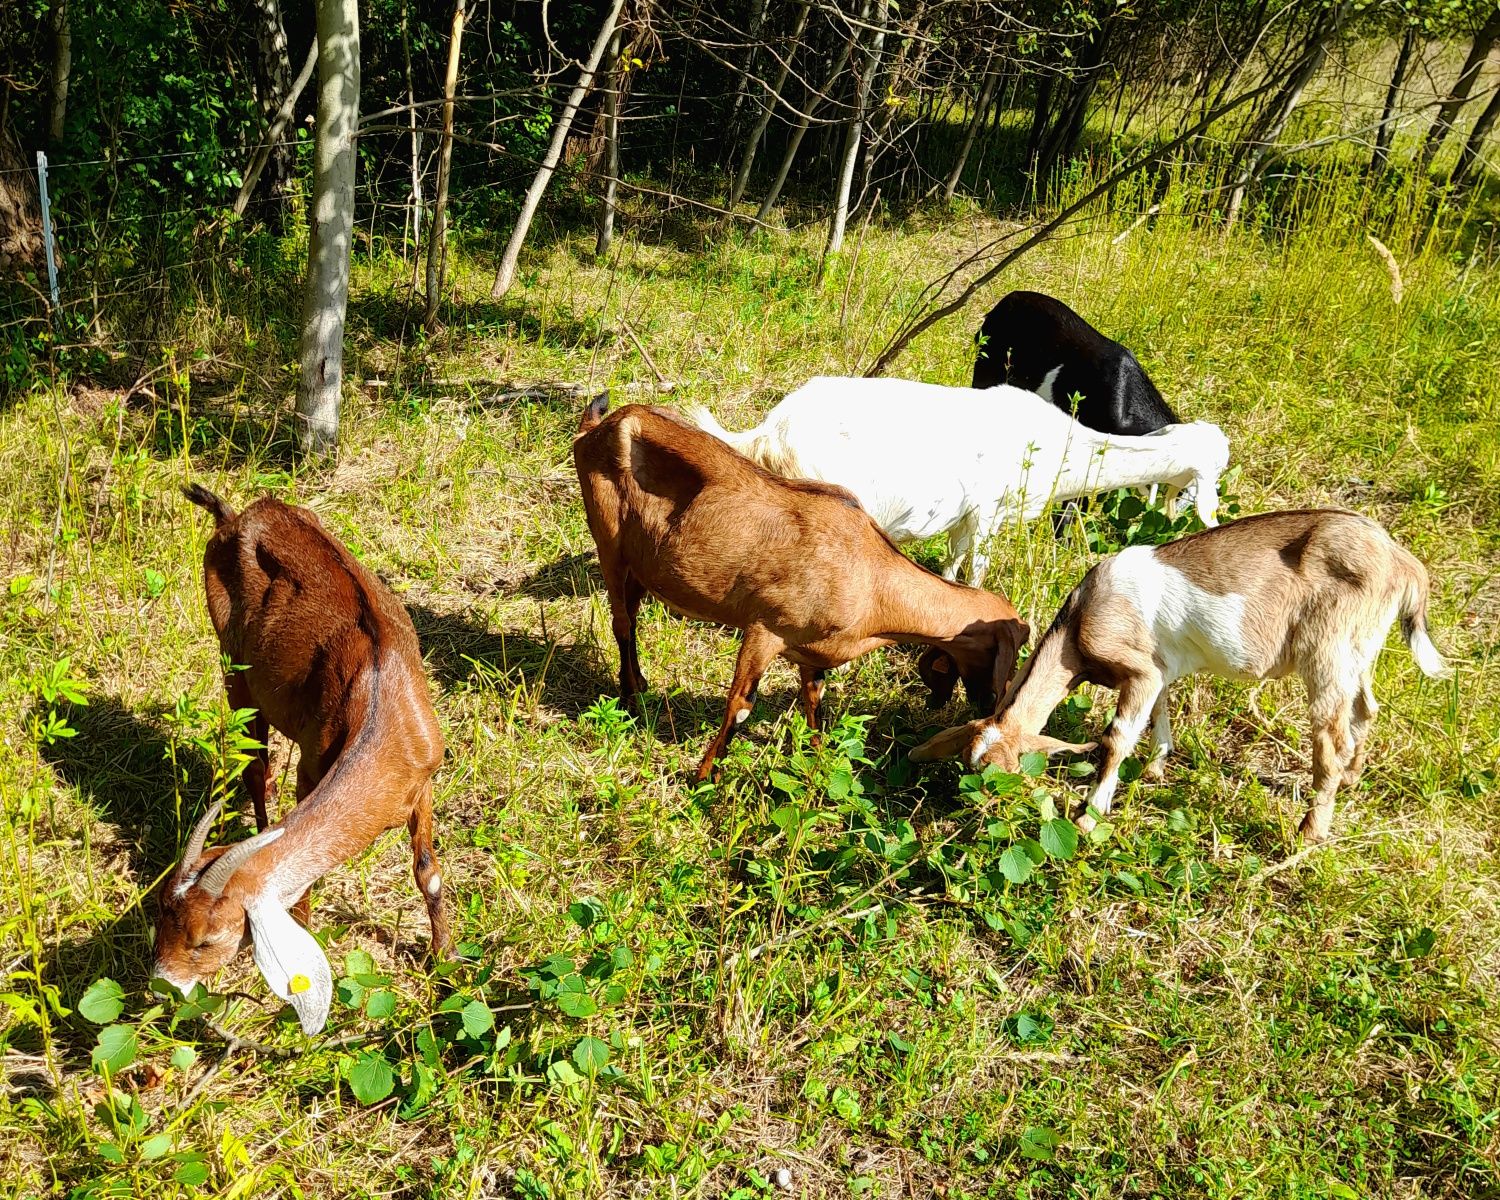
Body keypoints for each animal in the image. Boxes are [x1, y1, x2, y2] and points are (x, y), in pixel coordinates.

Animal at [567, 393, 1026, 780]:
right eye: (1005, 654)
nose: (990, 703)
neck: (874, 580)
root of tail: (597, 428)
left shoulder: (812, 652)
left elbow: (814, 703)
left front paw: (819, 763)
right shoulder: (766, 628)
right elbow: (741, 706)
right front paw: (704, 778)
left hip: (642, 565)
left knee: (631, 614)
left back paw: (640, 684)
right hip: (608, 540)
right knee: (622, 622)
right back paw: (629, 697)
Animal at [690, 375, 1230, 582]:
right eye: (1215, 470)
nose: (1213, 517)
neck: (1061, 447)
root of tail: (770, 432)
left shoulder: (963, 517)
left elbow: (952, 563)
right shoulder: (989, 511)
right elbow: (978, 569)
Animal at [906, 510, 1446, 840]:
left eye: (1005, 771)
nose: (979, 812)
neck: (1080, 625)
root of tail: (1404, 562)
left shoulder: (1140, 669)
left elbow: (1117, 737)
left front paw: (1090, 813)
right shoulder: (1159, 668)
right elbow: (1159, 716)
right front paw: (1156, 767)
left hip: (1328, 649)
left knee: (1331, 738)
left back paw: (1309, 832)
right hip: (1359, 650)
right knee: (1365, 709)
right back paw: (1352, 780)